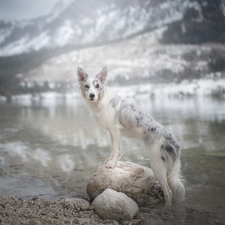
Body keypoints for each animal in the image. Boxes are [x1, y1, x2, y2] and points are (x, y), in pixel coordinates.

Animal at [77, 66, 185, 206]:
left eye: (97, 86)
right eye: (86, 86)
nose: (92, 95)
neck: (101, 100)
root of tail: (175, 143)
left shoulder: (116, 130)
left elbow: (117, 150)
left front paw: (112, 164)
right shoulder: (112, 131)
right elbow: (113, 148)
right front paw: (110, 160)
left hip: (157, 166)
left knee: (168, 192)